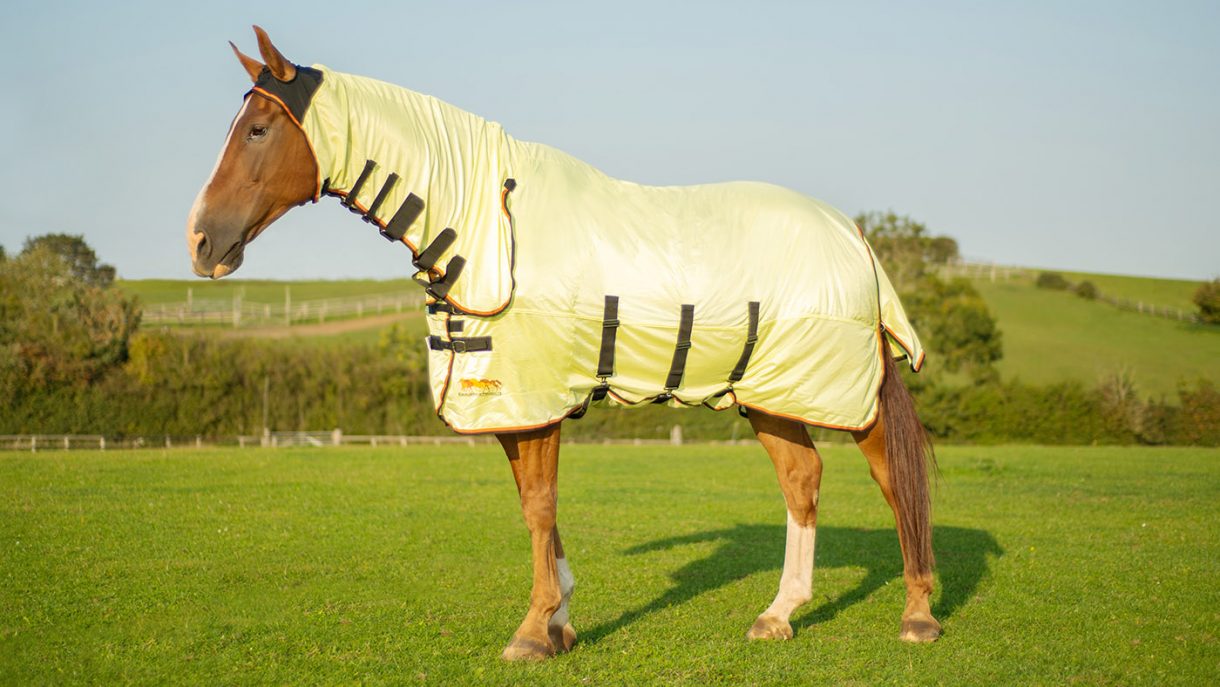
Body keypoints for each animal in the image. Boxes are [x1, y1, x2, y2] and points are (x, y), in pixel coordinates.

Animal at [187, 26, 940, 660]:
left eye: (258, 129)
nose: (201, 241)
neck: (490, 225)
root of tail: (853, 234)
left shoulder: (537, 399)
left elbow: (540, 506)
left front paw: (534, 629)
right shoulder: (508, 403)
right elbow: (534, 506)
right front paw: (560, 621)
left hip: (847, 395)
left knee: (893, 479)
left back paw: (919, 614)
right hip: (767, 395)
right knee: (802, 478)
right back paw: (779, 614)